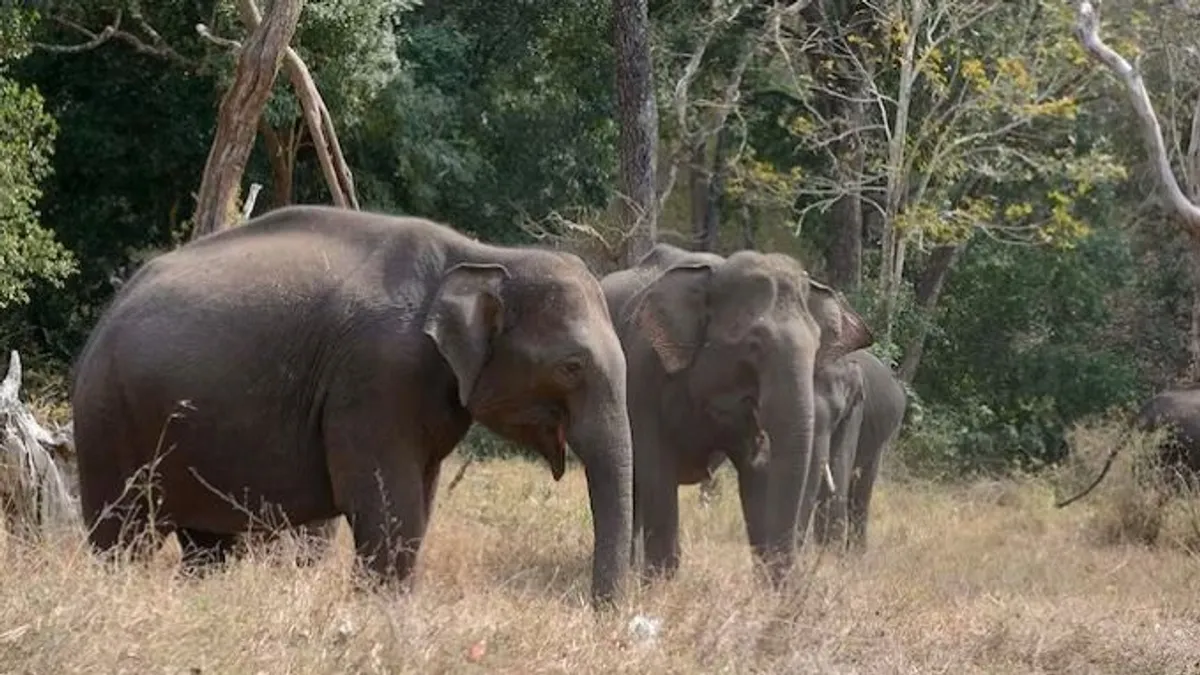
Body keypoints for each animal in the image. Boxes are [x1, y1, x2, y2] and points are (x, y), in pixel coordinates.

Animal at [72, 204, 638, 605]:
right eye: (572, 366)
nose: (599, 613)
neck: (482, 254)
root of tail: (108, 312)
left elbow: (418, 504)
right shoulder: (376, 374)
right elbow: (388, 506)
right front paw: (382, 614)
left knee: (207, 546)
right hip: (109, 419)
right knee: (125, 533)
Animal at [600, 242, 873, 583]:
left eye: (816, 348)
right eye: (754, 344)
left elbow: (759, 472)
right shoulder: (642, 373)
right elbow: (655, 467)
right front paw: (660, 584)